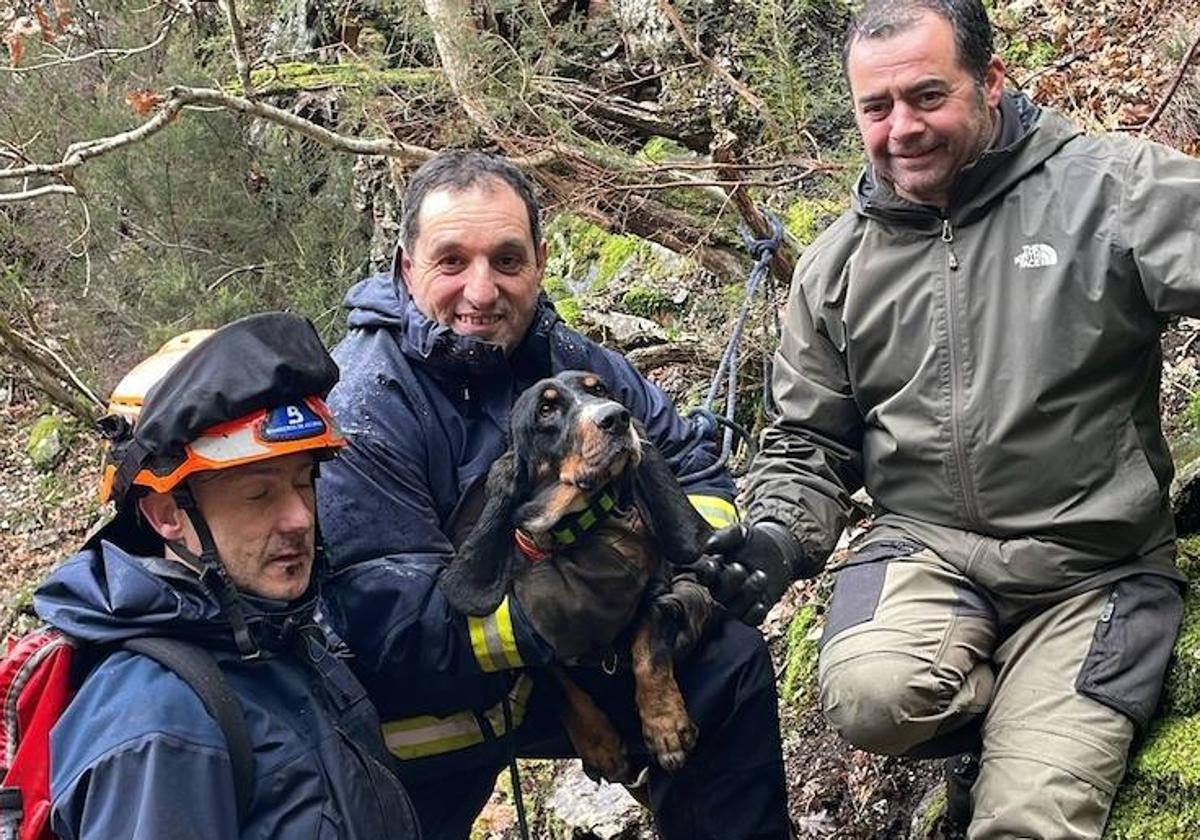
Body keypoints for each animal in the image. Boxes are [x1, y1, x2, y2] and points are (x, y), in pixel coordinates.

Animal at [444, 369, 715, 782]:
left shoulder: (654, 588)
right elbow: (560, 685)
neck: (573, 529)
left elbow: (648, 652)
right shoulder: (528, 635)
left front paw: (666, 725)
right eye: (546, 409)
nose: (617, 417)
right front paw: (599, 743)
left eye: (599, 389)